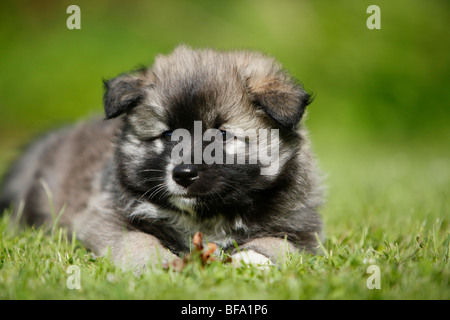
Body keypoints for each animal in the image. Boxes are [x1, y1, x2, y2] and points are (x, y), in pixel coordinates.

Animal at [0, 45, 324, 270]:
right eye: (168, 134)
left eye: (221, 135)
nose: (183, 174)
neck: (205, 217)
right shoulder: (109, 217)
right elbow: (137, 240)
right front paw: (155, 264)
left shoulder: (303, 231)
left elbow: (276, 243)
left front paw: (249, 262)